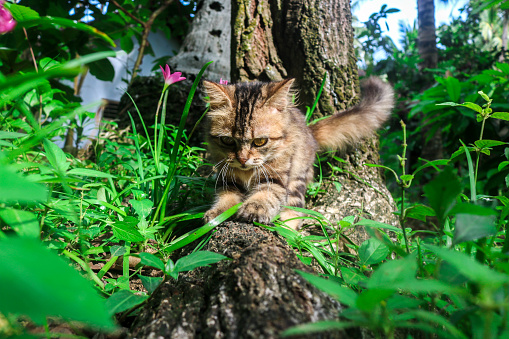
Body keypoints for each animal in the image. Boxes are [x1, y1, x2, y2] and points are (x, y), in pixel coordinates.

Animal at [201, 77, 392, 228]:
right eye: (227, 141)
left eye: (260, 141)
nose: (242, 159)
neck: (247, 173)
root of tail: (309, 131)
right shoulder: (227, 179)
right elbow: (226, 197)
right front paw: (217, 214)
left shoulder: (277, 179)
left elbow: (265, 195)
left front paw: (254, 209)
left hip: (297, 179)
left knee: (295, 211)